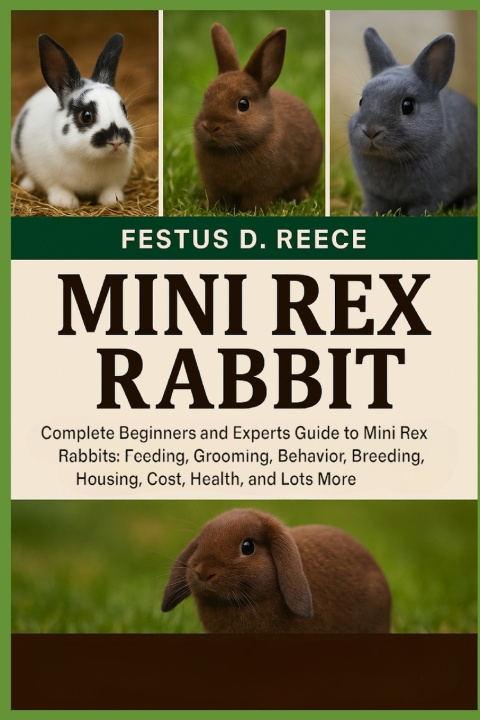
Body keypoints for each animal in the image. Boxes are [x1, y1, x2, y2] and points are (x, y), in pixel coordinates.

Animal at [11, 33, 134, 209]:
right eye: (86, 115)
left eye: (124, 110)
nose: (116, 141)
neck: (92, 158)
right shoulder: (50, 179)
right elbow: (58, 188)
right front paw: (66, 202)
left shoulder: (115, 181)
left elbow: (111, 190)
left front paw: (112, 201)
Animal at [193, 24, 323, 213]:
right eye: (205, 99)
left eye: (243, 104)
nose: (210, 126)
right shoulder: (213, 186)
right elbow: (217, 197)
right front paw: (210, 207)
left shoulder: (262, 187)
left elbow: (257, 200)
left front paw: (251, 211)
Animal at [348, 27, 477, 216]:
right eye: (361, 101)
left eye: (407, 106)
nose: (371, 130)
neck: (390, 159)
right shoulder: (374, 194)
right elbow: (375, 205)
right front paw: (367, 213)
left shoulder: (433, 195)